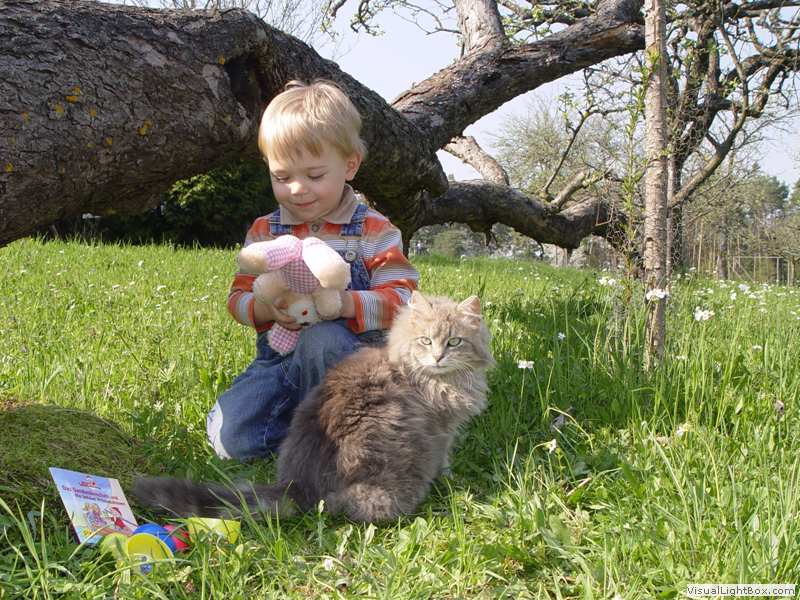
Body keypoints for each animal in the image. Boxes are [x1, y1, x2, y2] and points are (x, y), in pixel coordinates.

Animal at [133, 291, 495, 523]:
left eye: (454, 342)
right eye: (425, 341)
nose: (438, 357)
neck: (435, 379)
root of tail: (298, 485)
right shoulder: (441, 430)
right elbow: (443, 459)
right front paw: (448, 478)